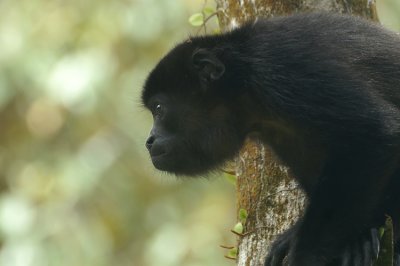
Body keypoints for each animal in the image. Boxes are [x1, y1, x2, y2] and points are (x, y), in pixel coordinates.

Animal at [141, 13, 400, 266]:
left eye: (158, 108)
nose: (149, 140)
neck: (243, 84)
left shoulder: (284, 70)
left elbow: (377, 133)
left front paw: (305, 258)